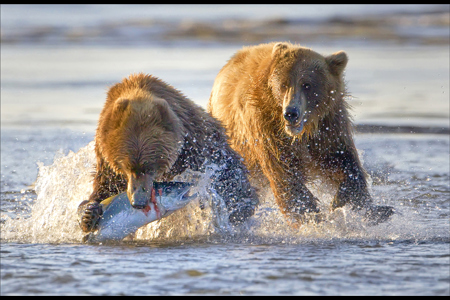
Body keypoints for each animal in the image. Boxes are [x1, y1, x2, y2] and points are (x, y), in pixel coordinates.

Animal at [78, 72, 258, 232]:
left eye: (150, 167)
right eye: (126, 166)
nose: (138, 202)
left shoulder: (196, 149)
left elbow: (225, 182)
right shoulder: (106, 159)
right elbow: (104, 189)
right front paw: (89, 214)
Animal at [207, 41, 394, 225]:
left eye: (307, 85)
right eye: (283, 84)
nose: (291, 113)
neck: (302, 132)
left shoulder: (328, 126)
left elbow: (342, 159)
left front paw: (348, 202)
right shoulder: (265, 127)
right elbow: (283, 171)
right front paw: (310, 215)